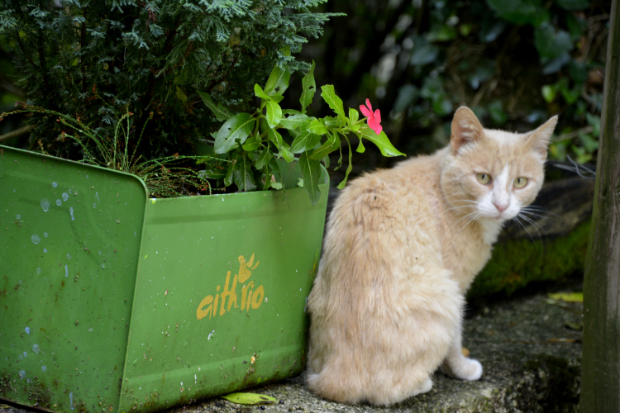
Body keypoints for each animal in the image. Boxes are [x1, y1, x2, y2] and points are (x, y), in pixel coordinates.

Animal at [306, 107, 556, 406]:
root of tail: (336, 374)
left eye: (520, 182)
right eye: (483, 178)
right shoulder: (458, 285)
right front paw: (462, 368)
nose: (501, 205)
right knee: (386, 392)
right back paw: (422, 383)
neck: (442, 187)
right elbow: (456, 340)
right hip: (445, 295)